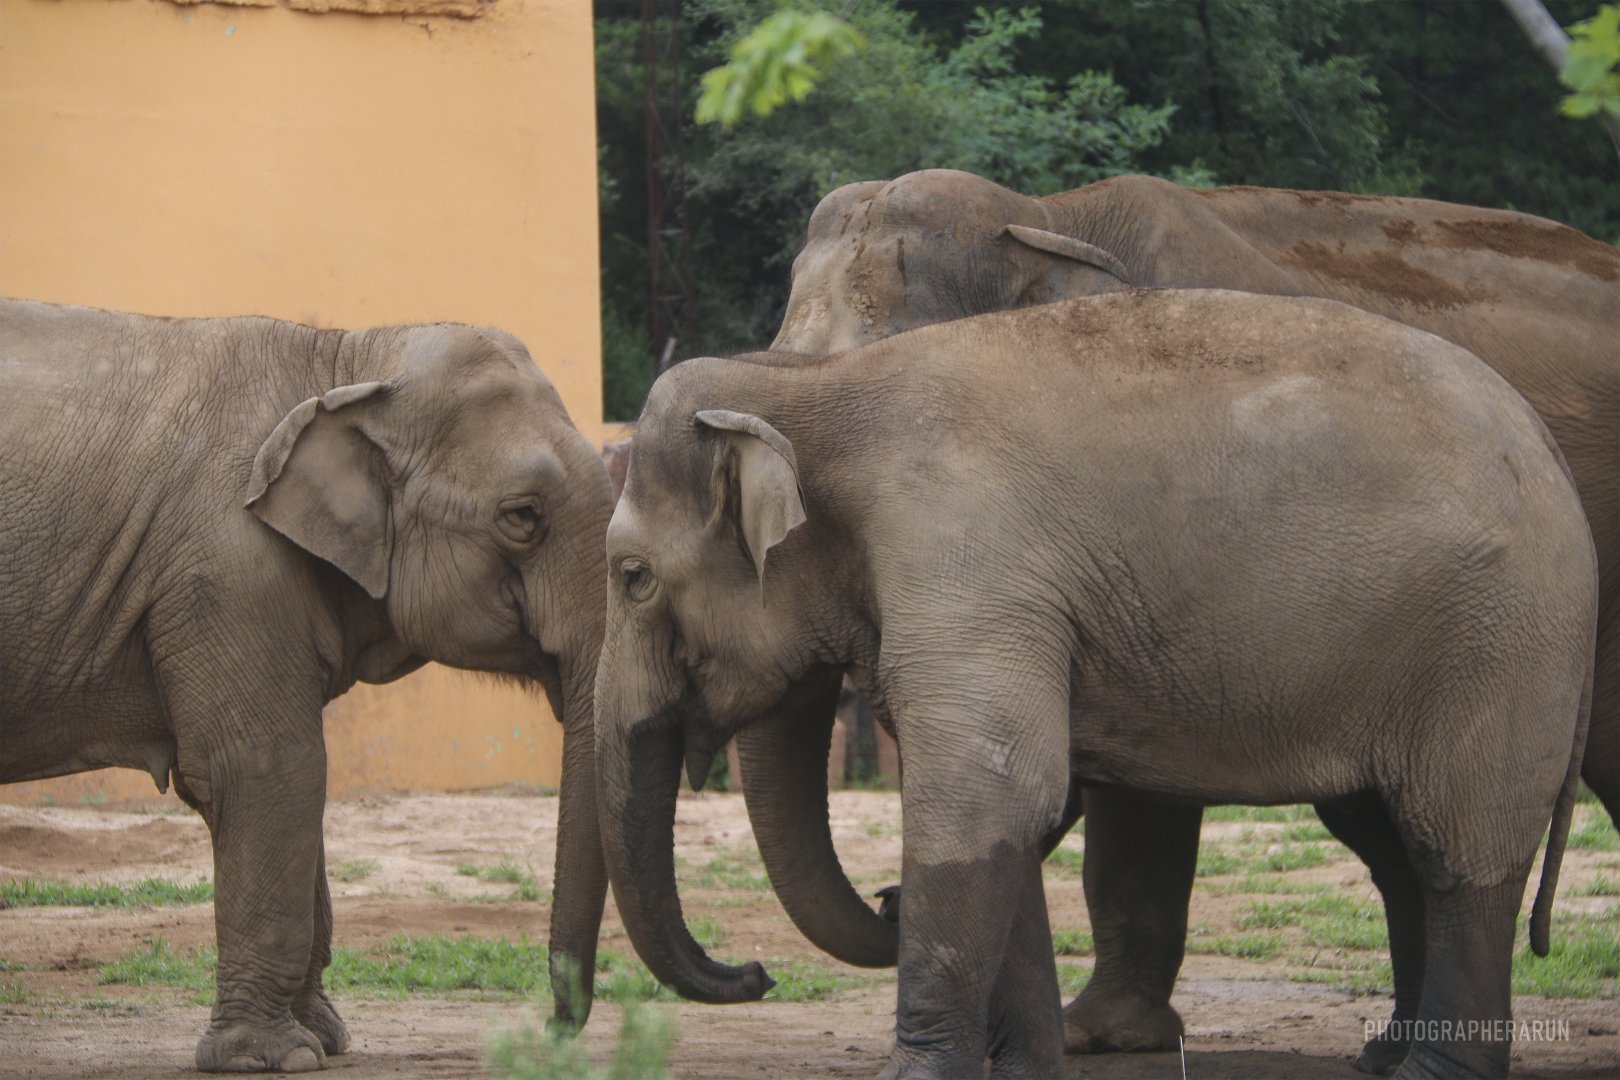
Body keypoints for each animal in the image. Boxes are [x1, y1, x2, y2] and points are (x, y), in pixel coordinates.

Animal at [0, 298, 613, 1072]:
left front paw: (326, 1039)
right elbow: (268, 767)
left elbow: (293, 779)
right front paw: (272, 1058)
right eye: (524, 517)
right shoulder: (228, 566)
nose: (548, 1031)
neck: (346, 360)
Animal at [595, 290, 1594, 1079]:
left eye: (631, 578)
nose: (753, 975)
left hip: (1495, 645)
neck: (813, 385)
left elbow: (990, 794)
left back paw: (1430, 1068)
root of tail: (1554, 463)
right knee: (1398, 845)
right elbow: (1011, 811)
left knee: (1458, 851)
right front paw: (1027, 1072)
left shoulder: (968, 560)